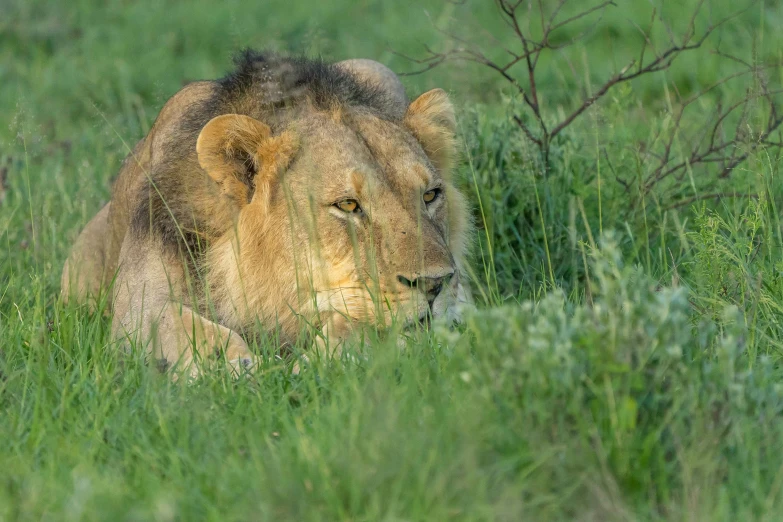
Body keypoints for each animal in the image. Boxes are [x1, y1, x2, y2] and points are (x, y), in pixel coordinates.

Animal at [59, 50, 472, 374]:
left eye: (430, 195)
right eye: (348, 205)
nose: (436, 284)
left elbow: (357, 319)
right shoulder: (133, 313)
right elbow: (177, 323)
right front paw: (238, 369)